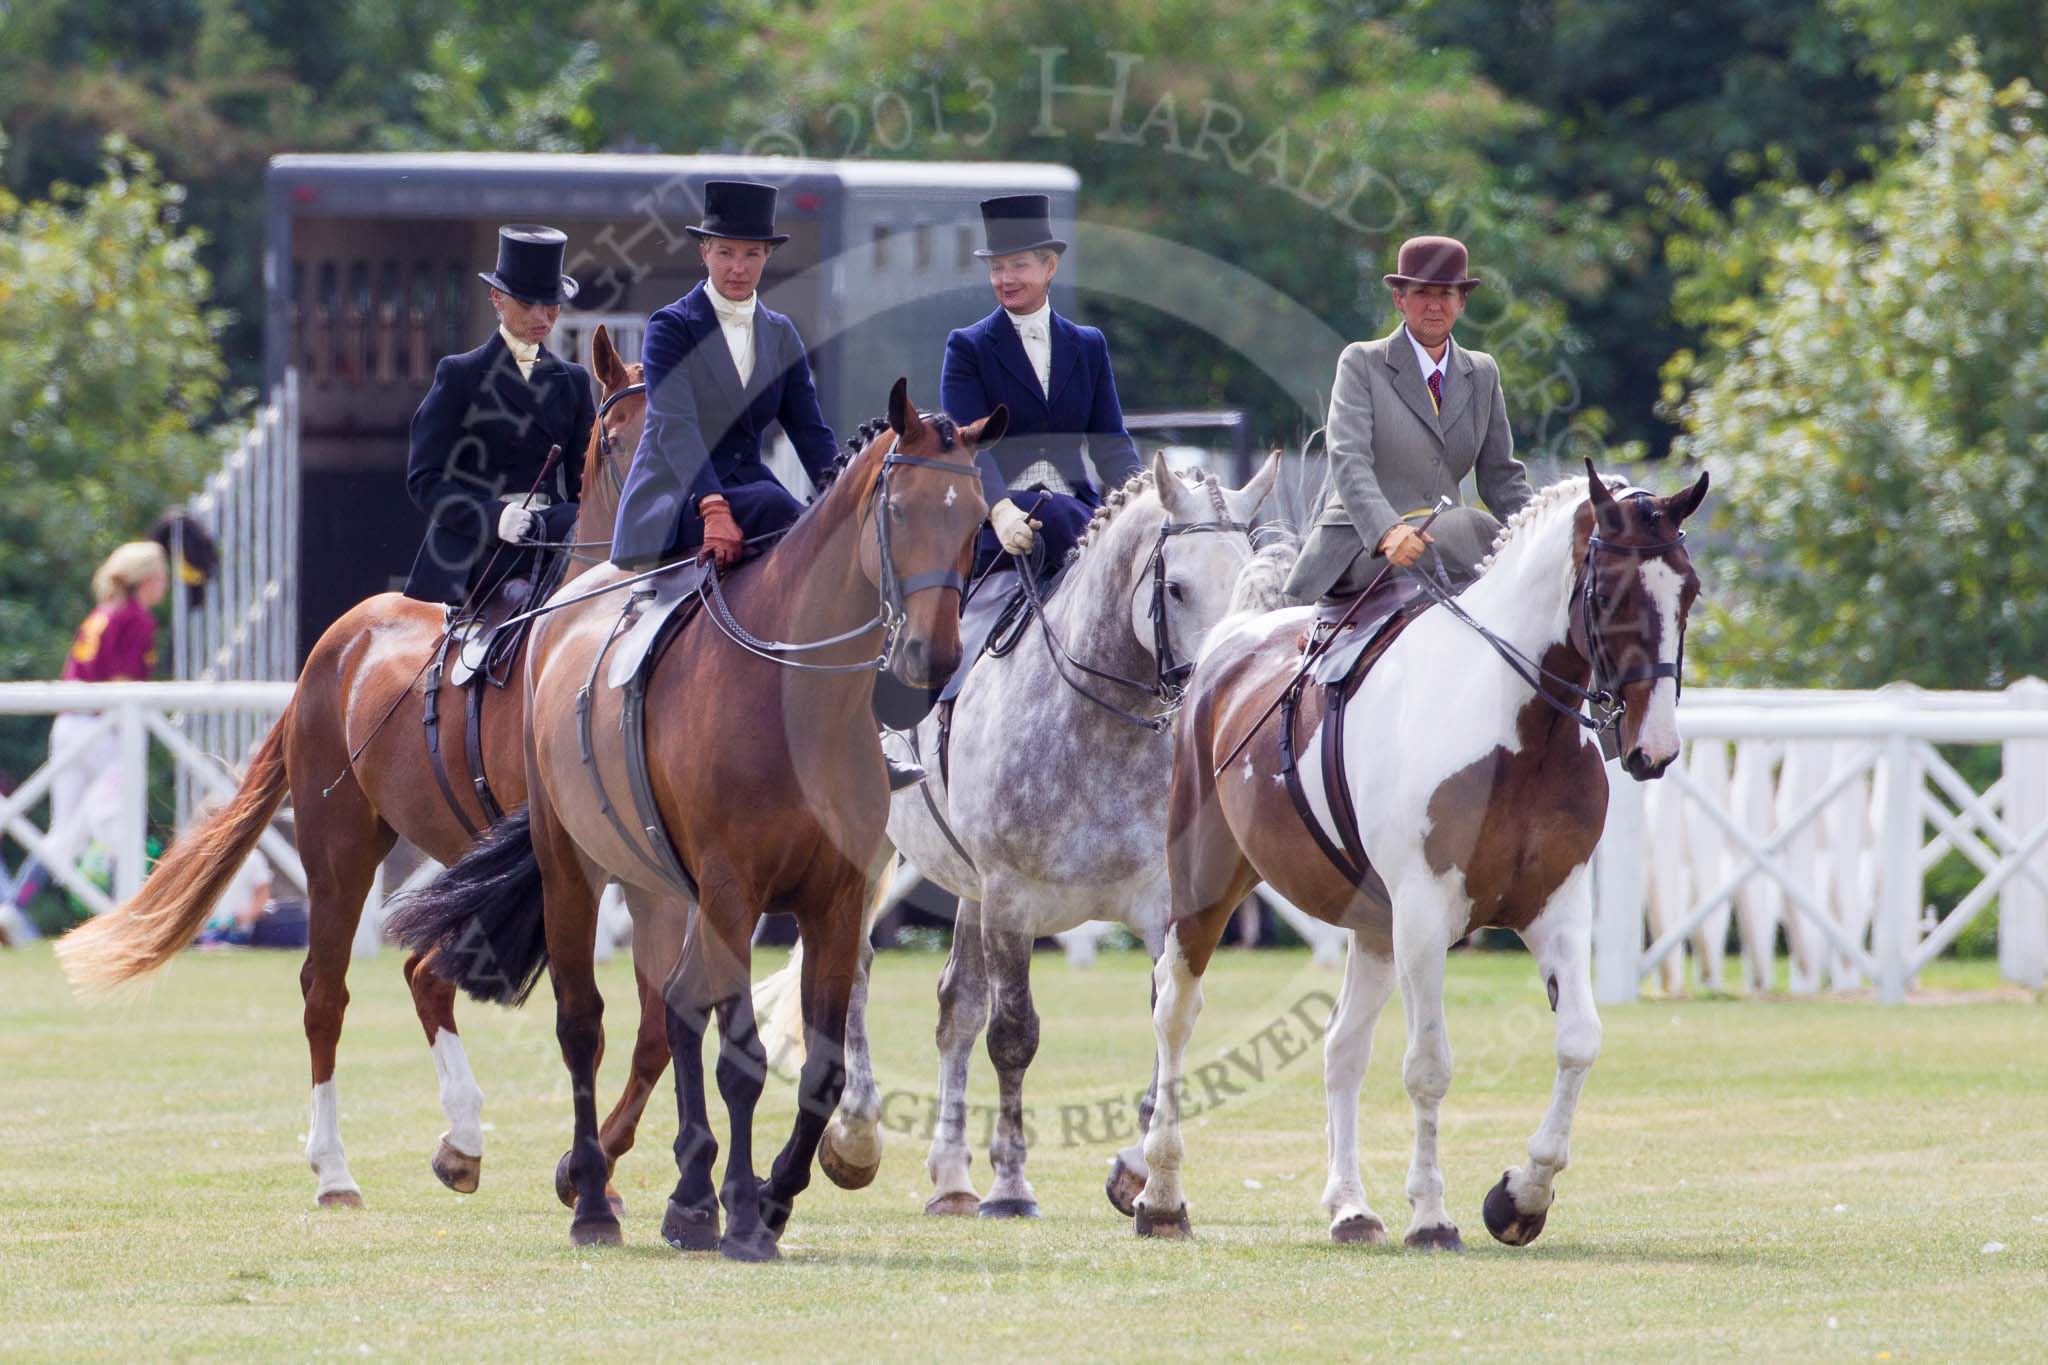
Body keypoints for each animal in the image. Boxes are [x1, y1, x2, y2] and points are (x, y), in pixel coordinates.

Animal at [58, 325, 671, 1211]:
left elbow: (657, 1026)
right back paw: (339, 1169)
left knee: (419, 977)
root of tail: (334, 641)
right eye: (618, 441)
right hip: (340, 847)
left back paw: (458, 1141)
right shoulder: (549, 868)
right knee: (330, 990)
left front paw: (596, 1173)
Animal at [391, 382, 999, 1260]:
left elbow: (820, 1066)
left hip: (663, 887)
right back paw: (596, 1200)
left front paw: (768, 1196)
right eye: (900, 507)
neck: (795, 696)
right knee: (583, 1024)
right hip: (576, 872)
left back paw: (685, 1196)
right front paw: (746, 1212)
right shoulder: (732, 890)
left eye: (976, 517)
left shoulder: (836, 899)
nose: (933, 658)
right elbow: (740, 1055)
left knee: (673, 1006)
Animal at [1130, 466, 1703, 1252]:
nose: (1656, 748)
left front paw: (1521, 1196)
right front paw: (1432, 1214)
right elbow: (1429, 1067)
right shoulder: (1427, 917)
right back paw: (1160, 1196)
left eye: (1690, 590)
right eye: (1610, 594)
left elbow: (1579, 1041)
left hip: (1373, 927)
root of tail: (1230, 642)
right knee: (1175, 1013)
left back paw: (1350, 1206)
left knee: (1341, 1047)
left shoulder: (1555, 907)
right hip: (1206, 889)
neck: (1517, 727)